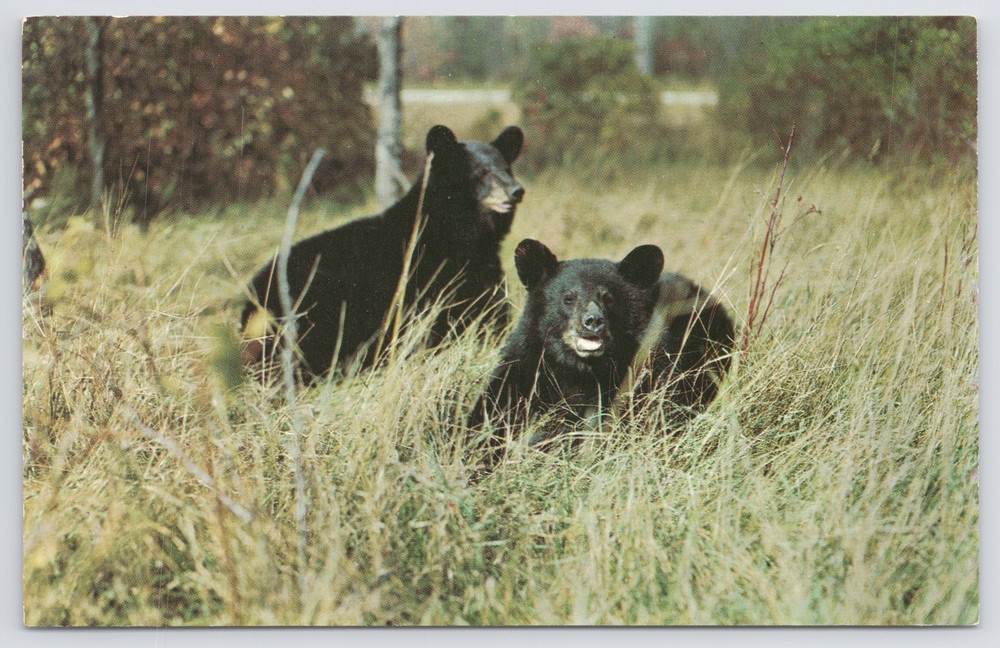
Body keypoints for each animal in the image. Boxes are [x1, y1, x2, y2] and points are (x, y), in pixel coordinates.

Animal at [242, 124, 525, 378]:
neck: (461, 236)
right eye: (482, 171)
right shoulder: (425, 279)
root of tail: (251, 299)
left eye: (506, 167)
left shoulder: (480, 272)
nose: (517, 190)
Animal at [467, 238, 735, 469]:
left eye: (608, 298)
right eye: (568, 298)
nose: (593, 321)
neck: (582, 369)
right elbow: (495, 410)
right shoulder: (527, 367)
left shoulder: (650, 373)